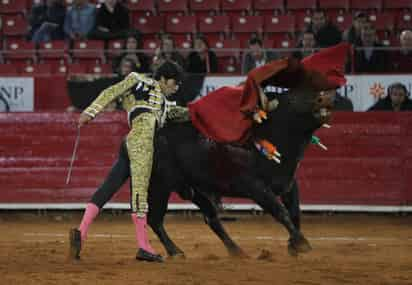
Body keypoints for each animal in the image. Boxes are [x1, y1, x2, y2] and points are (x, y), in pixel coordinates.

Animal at [91, 86, 334, 255]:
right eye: (292, 99)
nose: (325, 97)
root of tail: (129, 138)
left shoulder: (288, 184)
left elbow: (294, 212)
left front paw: (295, 244)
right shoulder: (256, 187)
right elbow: (280, 211)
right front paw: (301, 243)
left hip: (192, 188)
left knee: (211, 218)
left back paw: (236, 251)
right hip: (160, 185)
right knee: (154, 218)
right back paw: (175, 251)